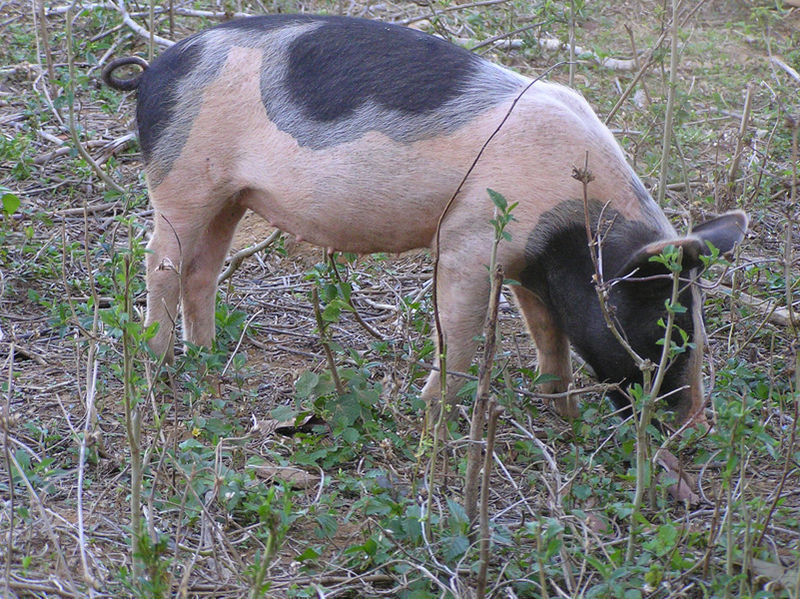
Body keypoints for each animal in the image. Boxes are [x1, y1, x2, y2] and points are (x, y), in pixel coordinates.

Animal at [103, 16, 748, 428]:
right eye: (664, 330)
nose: (695, 425)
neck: (574, 222)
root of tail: (154, 69)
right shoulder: (469, 240)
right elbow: (459, 335)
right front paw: (430, 414)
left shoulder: (532, 266)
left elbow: (551, 336)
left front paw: (564, 416)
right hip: (182, 177)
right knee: (160, 260)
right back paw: (158, 362)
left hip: (230, 196)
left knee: (203, 270)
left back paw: (209, 356)